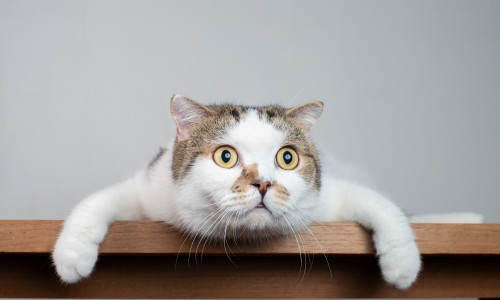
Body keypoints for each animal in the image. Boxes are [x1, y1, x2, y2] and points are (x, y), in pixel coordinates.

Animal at [52, 95, 422, 290]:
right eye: (225, 156)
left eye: (288, 158)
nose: (263, 183)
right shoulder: (151, 189)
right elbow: (100, 201)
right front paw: (72, 255)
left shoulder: (331, 196)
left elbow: (382, 206)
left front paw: (403, 264)